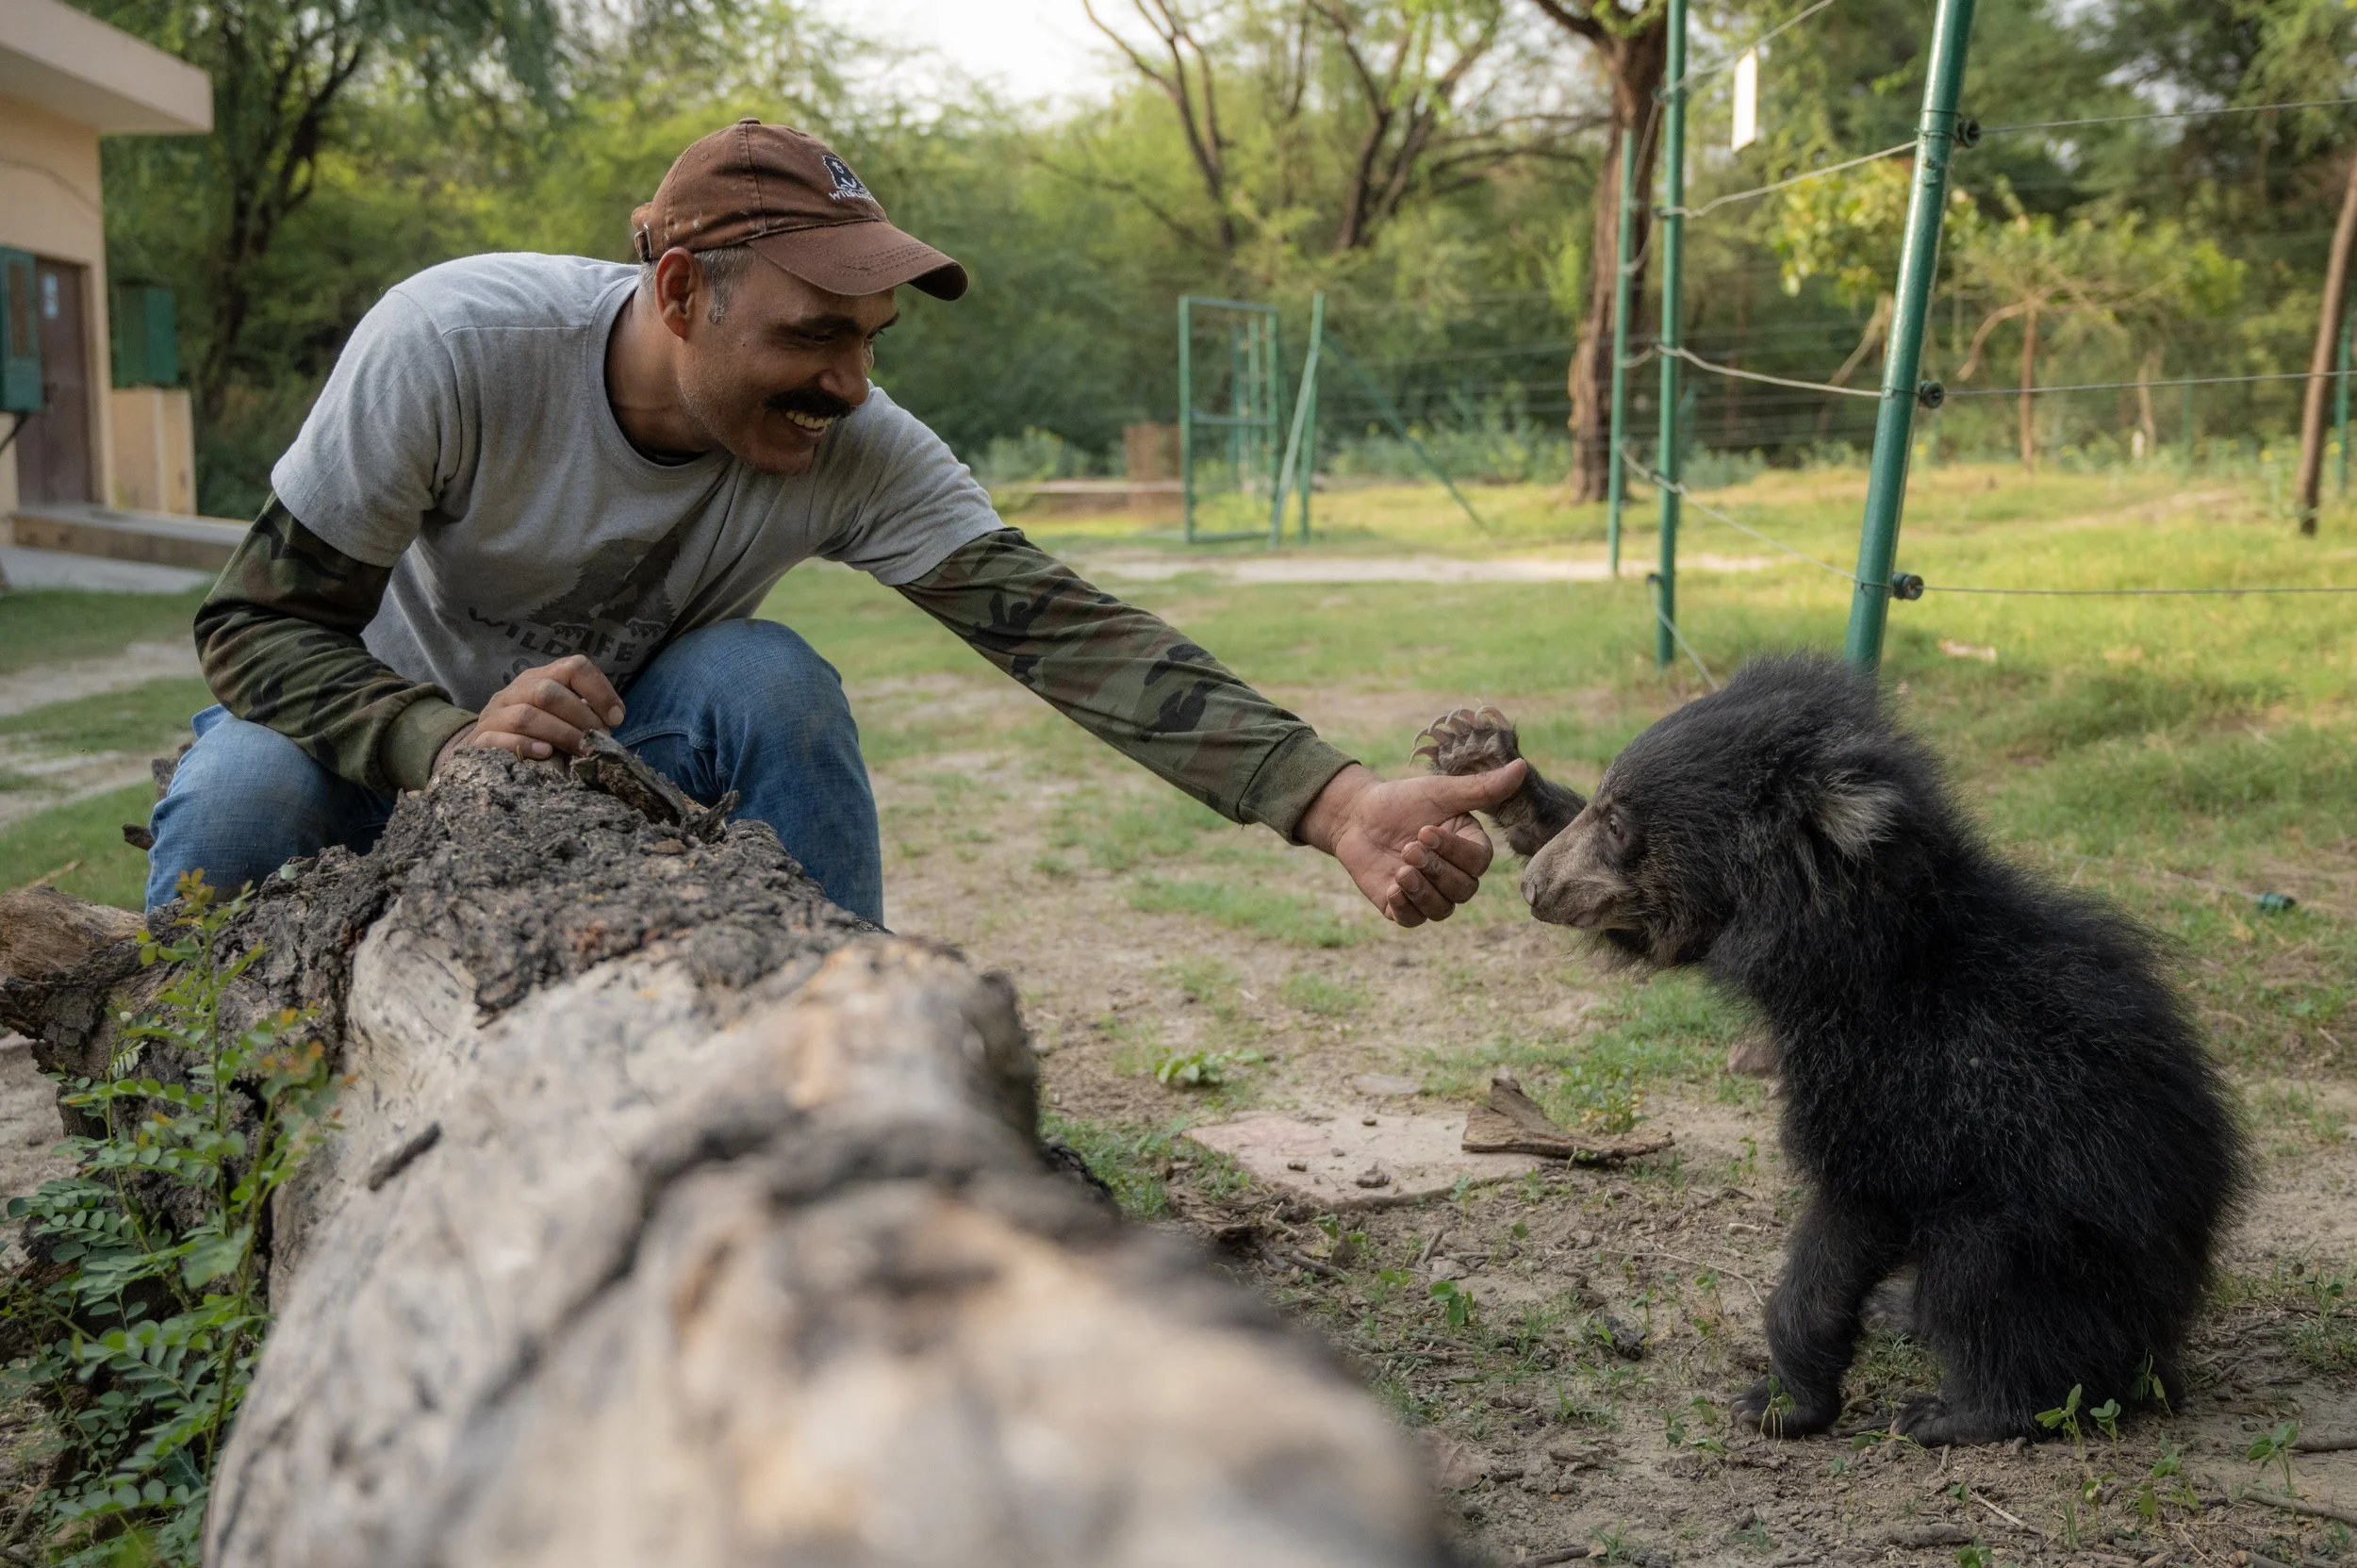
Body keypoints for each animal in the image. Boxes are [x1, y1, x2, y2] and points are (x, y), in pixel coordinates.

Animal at [1416, 654, 2246, 1445]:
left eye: (1621, 825)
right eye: (1598, 804)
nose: (1534, 887)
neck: (1861, 945)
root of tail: (2167, 1320)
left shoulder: (1889, 1077)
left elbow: (1850, 1209)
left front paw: (1779, 1402)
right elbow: (1656, 936)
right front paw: (1475, 749)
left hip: (2053, 1239)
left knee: (1988, 1281)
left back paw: (1961, 1411)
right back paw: (1904, 1313)